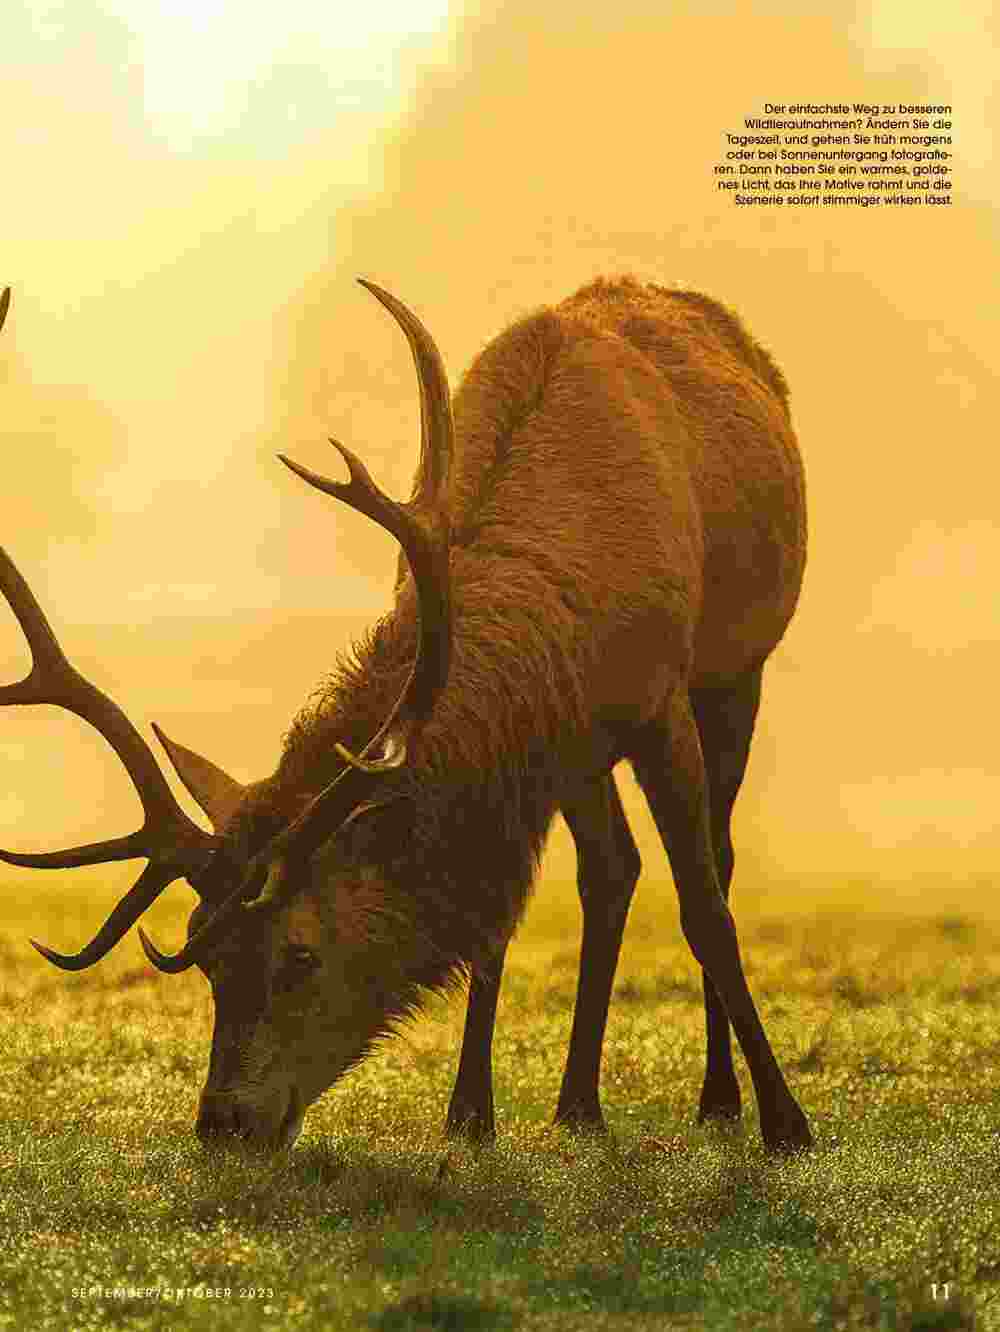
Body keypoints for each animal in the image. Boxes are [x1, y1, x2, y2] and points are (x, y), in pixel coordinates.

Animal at [0, 278, 814, 1156]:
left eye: (300, 955)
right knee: (612, 870)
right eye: (205, 954)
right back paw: (577, 1105)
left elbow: (705, 908)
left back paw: (717, 1097)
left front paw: (785, 1120)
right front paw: (469, 1115)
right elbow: (497, 914)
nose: (223, 1122)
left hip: (736, 674)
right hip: (584, 758)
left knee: (717, 862)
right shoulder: (544, 740)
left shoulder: (660, 702)